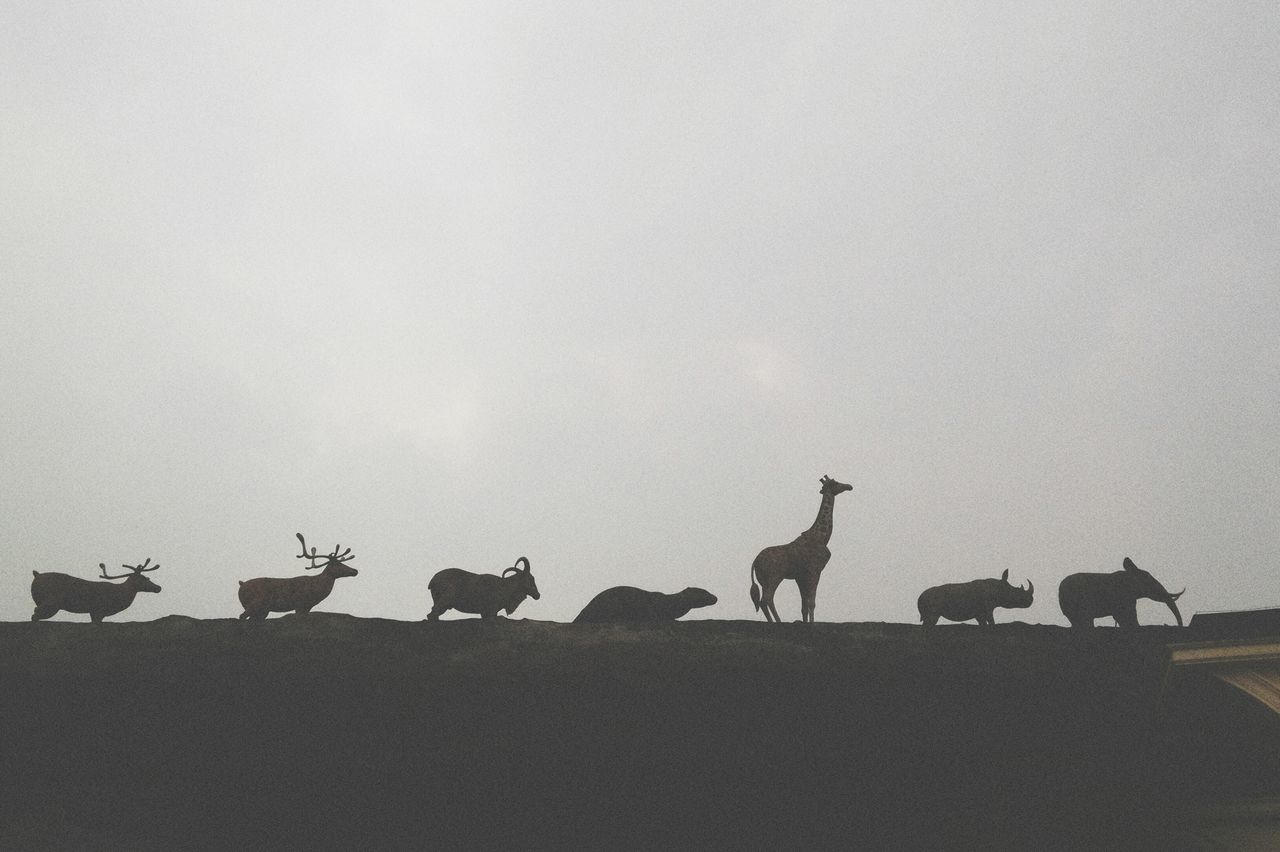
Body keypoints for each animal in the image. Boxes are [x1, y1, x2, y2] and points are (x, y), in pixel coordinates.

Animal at [30, 555, 162, 621]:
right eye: (145, 578)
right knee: (35, 615)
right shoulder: (98, 610)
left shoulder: (94, 612)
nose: (158, 587)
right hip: (51, 602)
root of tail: (36, 575)